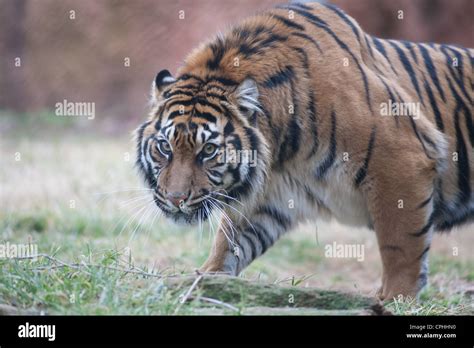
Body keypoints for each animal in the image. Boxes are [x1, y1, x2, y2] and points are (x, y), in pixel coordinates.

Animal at [135, 1, 472, 300]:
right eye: (164, 146)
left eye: (207, 150)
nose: (175, 199)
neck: (281, 148)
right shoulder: (269, 196)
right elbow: (229, 243)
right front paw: (202, 281)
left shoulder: (401, 161)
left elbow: (400, 243)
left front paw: (394, 299)